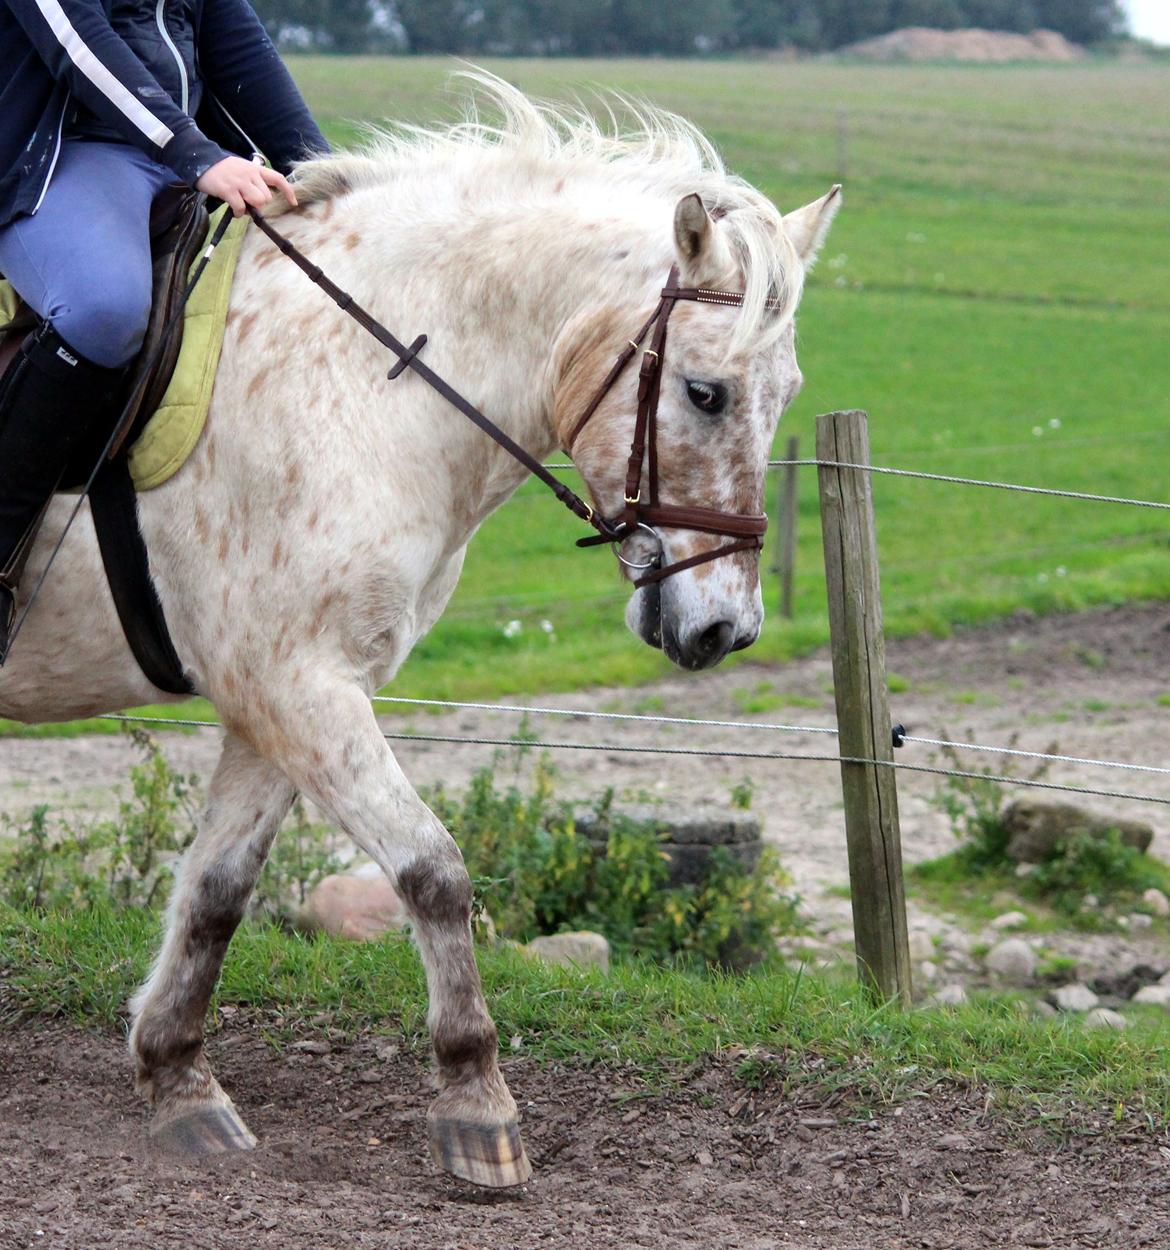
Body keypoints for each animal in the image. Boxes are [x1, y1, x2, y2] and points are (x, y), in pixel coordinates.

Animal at [0, 73, 840, 1185]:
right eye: (706, 392)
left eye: (785, 396)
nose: (726, 629)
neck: (357, 375)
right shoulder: (297, 686)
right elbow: (433, 871)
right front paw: (476, 1100)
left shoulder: (285, 695)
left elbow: (219, 887)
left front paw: (179, 1078)